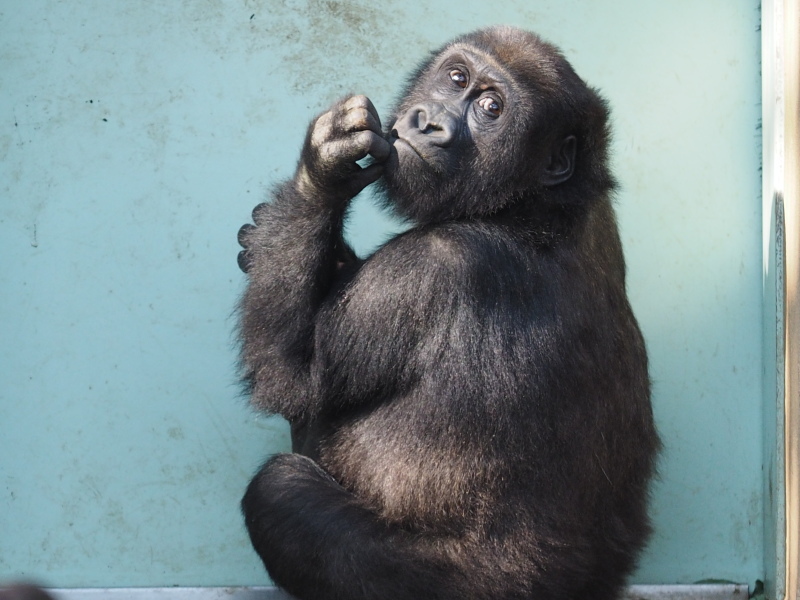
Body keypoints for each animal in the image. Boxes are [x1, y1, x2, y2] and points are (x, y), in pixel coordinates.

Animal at [234, 25, 660, 600]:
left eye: (490, 107)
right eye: (456, 77)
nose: (429, 122)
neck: (530, 205)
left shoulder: (431, 268)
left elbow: (290, 375)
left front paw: (323, 173)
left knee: (280, 489)